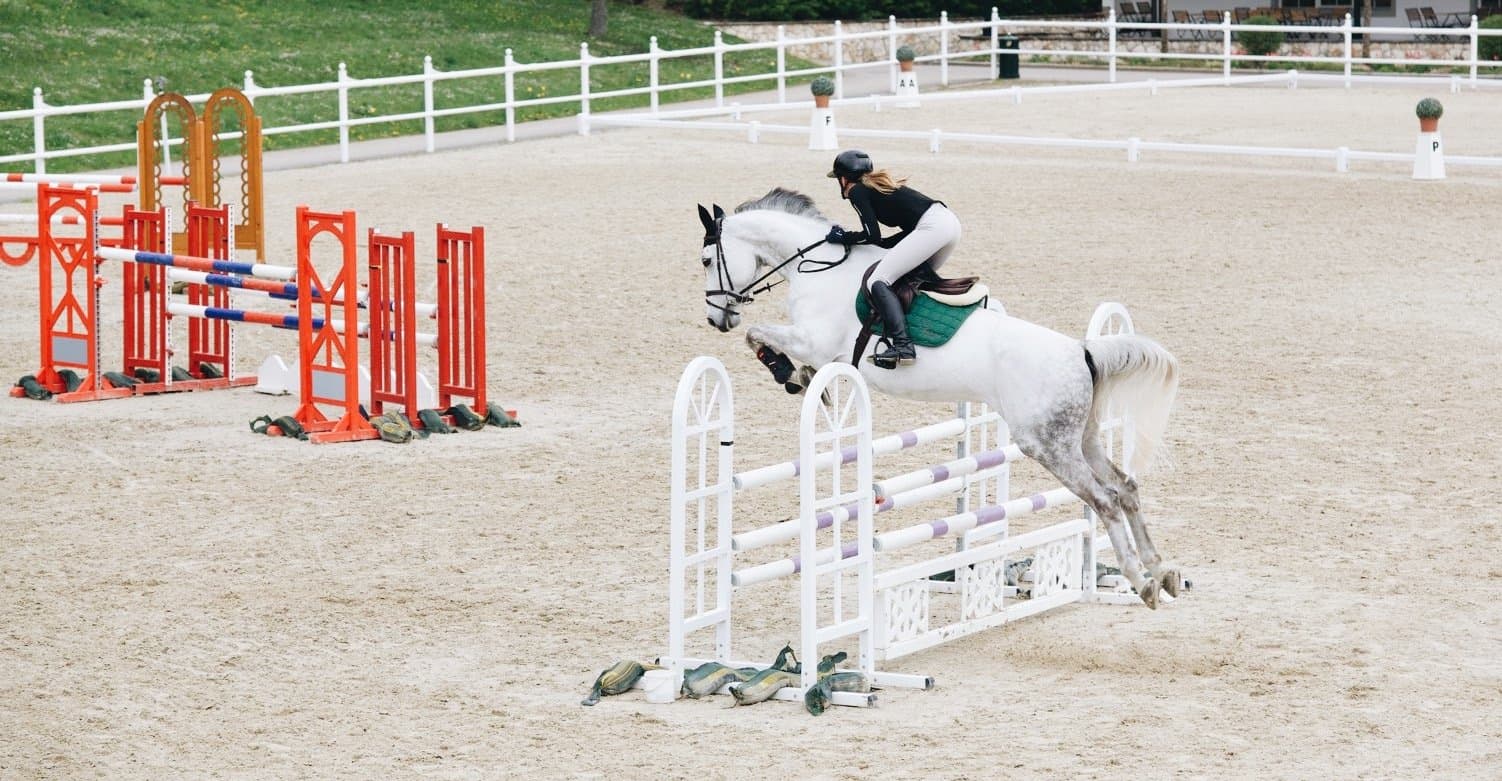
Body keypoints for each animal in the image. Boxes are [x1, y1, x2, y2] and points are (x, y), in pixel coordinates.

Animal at [696, 188, 1184, 608]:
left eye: (706, 259)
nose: (717, 318)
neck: (818, 268)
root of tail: (1081, 351)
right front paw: (806, 380)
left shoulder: (812, 340)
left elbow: (758, 336)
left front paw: (790, 374)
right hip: (1082, 436)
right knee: (1126, 488)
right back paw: (1162, 572)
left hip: (1047, 443)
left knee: (1104, 500)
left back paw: (1141, 581)